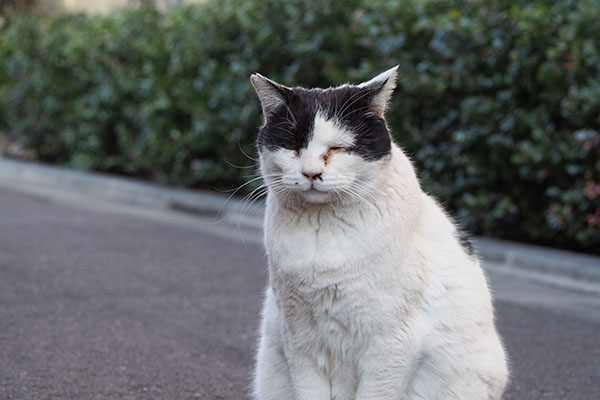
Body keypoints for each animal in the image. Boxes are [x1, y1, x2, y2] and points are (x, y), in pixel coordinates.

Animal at [248, 67, 506, 398]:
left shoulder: (391, 344)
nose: (310, 173)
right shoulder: (300, 341)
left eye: (338, 148)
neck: (323, 232)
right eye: (292, 147)